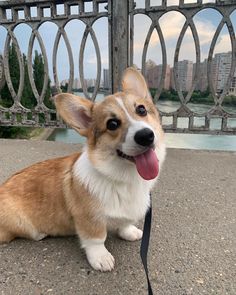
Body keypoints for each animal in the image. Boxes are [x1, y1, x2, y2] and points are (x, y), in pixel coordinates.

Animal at [0, 68, 166, 272]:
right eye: (112, 124)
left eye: (141, 109)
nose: (145, 136)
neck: (123, 178)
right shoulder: (89, 218)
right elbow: (96, 239)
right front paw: (101, 258)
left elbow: (125, 222)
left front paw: (129, 232)